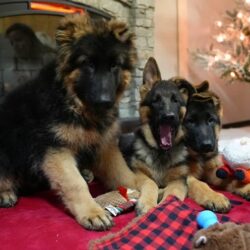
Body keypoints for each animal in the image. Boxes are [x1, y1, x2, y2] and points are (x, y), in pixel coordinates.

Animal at [0, 14, 158, 230]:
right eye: (87, 64)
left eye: (114, 66)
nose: (105, 102)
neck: (76, 105)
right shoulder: (56, 150)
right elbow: (75, 183)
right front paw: (92, 212)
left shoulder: (105, 149)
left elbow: (138, 179)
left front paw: (148, 200)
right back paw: (5, 192)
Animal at [127, 57, 195, 203]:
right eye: (156, 100)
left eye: (175, 100)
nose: (169, 116)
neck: (161, 154)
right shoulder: (137, 172)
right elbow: (151, 182)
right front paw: (147, 203)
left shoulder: (179, 180)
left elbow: (173, 193)